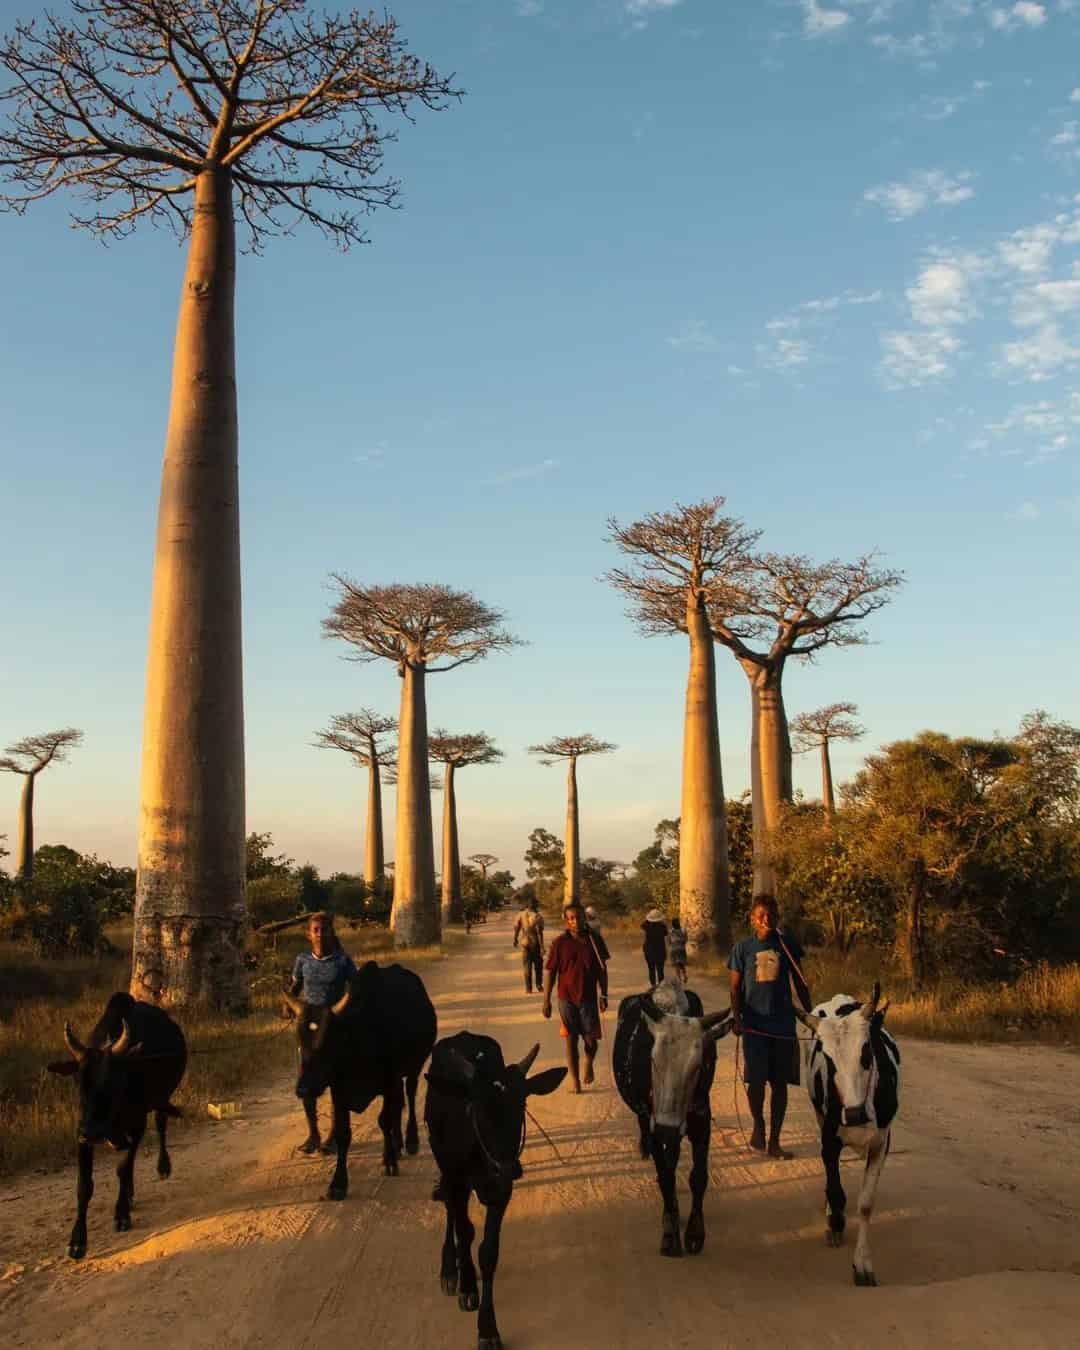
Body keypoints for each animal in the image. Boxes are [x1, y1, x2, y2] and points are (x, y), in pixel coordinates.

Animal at [46, 988, 187, 1258]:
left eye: (113, 1080)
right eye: (78, 1081)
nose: (93, 1132)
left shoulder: (136, 1126)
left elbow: (122, 1168)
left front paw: (121, 1215)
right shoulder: (82, 1135)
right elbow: (84, 1186)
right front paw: (77, 1241)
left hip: (161, 1099)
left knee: (160, 1125)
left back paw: (162, 1167)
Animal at [286, 961, 442, 1204]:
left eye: (327, 1043)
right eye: (300, 1043)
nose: (303, 1088)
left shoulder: (389, 1080)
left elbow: (384, 1120)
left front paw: (389, 1161)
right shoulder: (339, 1091)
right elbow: (343, 1134)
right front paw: (338, 1184)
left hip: (413, 1068)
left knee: (409, 1095)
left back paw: (409, 1141)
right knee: (398, 1105)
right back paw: (397, 1143)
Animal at [426, 1031, 569, 1350]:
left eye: (521, 1105)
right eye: (479, 1109)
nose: (509, 1169)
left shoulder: (501, 1192)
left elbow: (489, 1252)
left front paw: (488, 1328)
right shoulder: (457, 1181)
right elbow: (465, 1231)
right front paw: (467, 1286)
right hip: (446, 1169)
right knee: (451, 1213)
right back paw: (449, 1269)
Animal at [615, 982, 734, 1252]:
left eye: (698, 1065)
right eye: (652, 1059)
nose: (666, 1128)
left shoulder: (701, 1119)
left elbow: (698, 1177)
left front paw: (695, 1233)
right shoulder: (654, 1123)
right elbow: (665, 1176)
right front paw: (670, 1230)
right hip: (645, 1116)